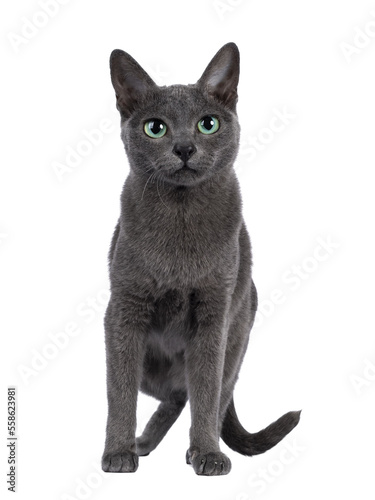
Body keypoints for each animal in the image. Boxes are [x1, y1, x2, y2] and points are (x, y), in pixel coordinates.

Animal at [101, 43, 302, 476]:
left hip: (239, 335)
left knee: (206, 393)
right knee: (175, 394)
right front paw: (117, 452)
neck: (181, 218)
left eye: (207, 124)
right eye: (155, 127)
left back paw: (190, 448)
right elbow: (119, 391)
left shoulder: (214, 312)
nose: (184, 148)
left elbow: (208, 391)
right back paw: (142, 443)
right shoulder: (124, 309)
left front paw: (208, 453)